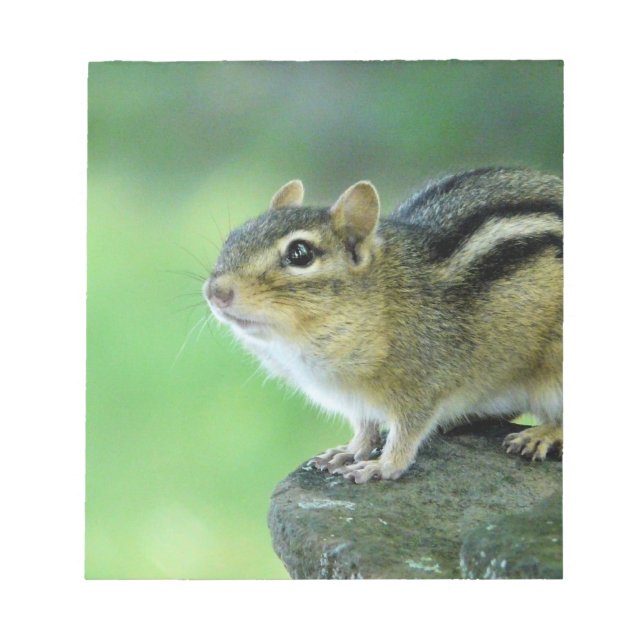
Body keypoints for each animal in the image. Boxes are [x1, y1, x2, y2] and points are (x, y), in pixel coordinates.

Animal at [204, 168, 563, 483]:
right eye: (234, 236)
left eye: (300, 253)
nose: (216, 291)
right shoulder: (357, 400)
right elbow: (365, 427)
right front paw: (350, 451)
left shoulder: (424, 383)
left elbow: (407, 433)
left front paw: (382, 466)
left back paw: (542, 433)